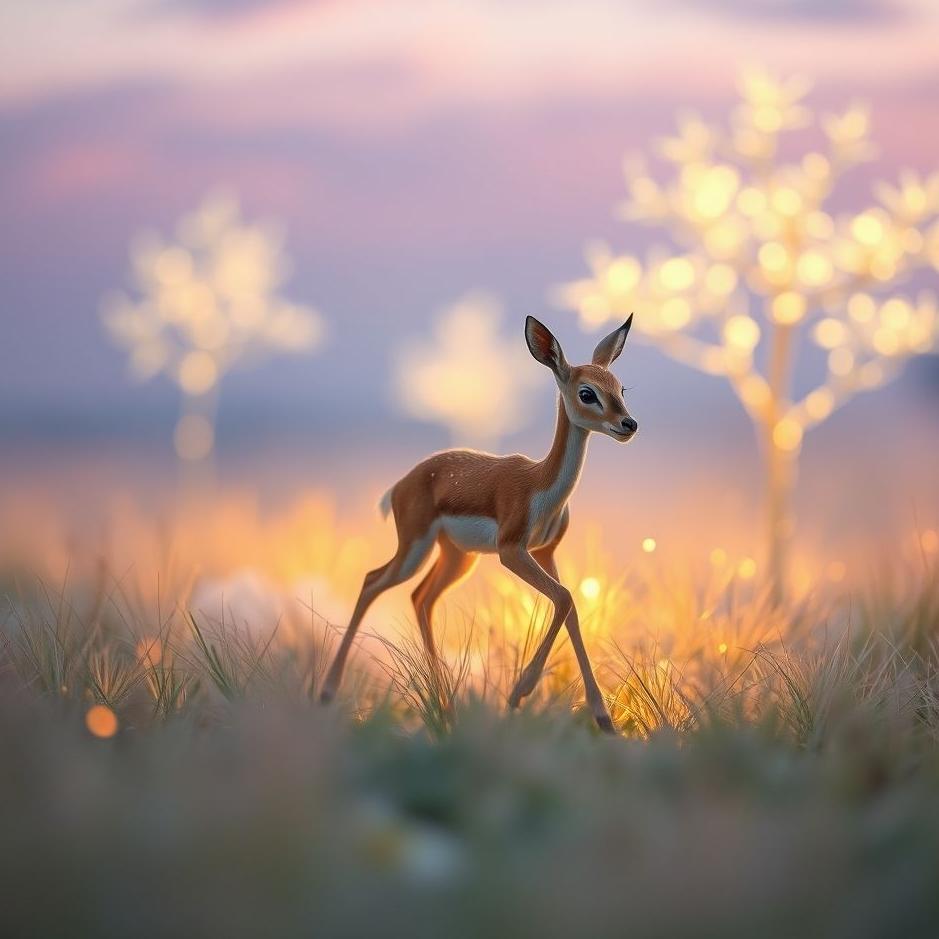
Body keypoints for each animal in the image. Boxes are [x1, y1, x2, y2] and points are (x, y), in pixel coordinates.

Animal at [320, 315, 638, 732]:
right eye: (587, 393)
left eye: (620, 388)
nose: (628, 424)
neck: (540, 483)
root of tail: (400, 485)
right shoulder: (511, 551)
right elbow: (566, 598)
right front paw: (519, 692)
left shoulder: (546, 552)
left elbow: (569, 607)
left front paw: (604, 720)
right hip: (415, 549)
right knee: (373, 580)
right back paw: (327, 694)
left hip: (457, 557)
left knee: (421, 598)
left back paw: (448, 711)